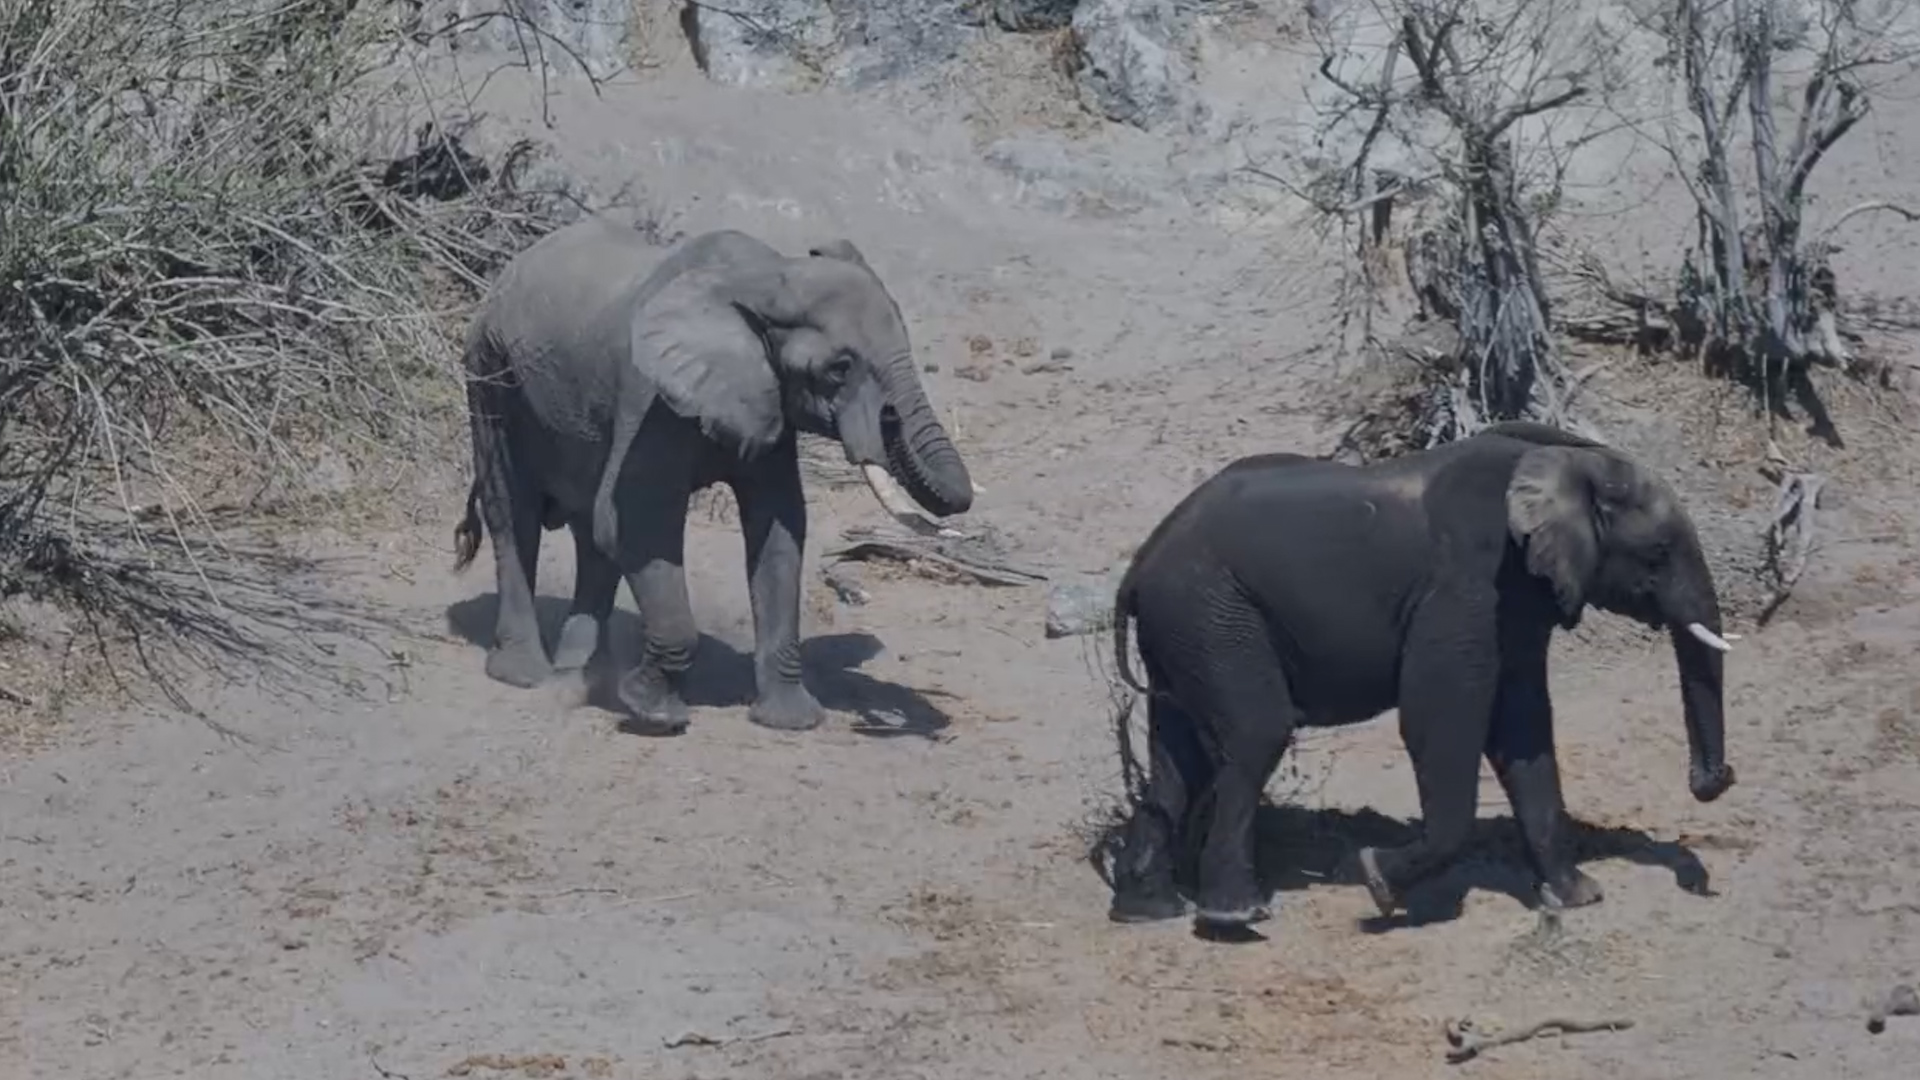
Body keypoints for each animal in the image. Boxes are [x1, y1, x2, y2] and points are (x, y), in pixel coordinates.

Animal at [451, 217, 975, 734]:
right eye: (839, 368)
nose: (888, 418)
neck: (763, 280)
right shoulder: (650, 397)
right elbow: (632, 521)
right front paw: (653, 712)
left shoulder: (766, 398)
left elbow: (779, 526)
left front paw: (790, 720)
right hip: (490, 370)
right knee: (513, 510)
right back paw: (526, 675)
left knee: (589, 535)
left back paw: (580, 677)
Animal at [1102, 420, 1736, 933]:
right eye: (1658, 552)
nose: (1714, 779)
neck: (1567, 463)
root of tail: (1138, 567)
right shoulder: (1469, 583)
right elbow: (1440, 719)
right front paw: (1376, 879)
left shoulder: (1517, 599)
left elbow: (1523, 726)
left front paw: (1578, 898)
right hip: (1212, 612)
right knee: (1257, 732)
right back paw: (1236, 917)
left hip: (1186, 627)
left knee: (1177, 760)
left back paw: (1147, 911)